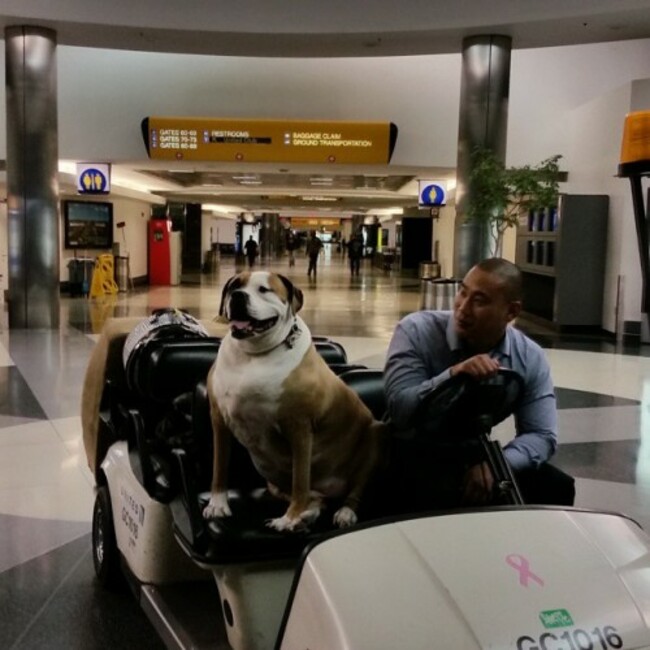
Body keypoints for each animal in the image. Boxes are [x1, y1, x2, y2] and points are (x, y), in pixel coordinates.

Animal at [202, 270, 384, 528]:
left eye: (263, 289)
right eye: (234, 286)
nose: (237, 296)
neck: (253, 355)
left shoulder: (299, 428)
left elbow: (300, 479)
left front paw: (289, 518)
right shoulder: (218, 420)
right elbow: (219, 466)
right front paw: (217, 504)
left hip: (375, 436)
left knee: (352, 489)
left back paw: (342, 512)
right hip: (273, 481)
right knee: (315, 498)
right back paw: (310, 512)